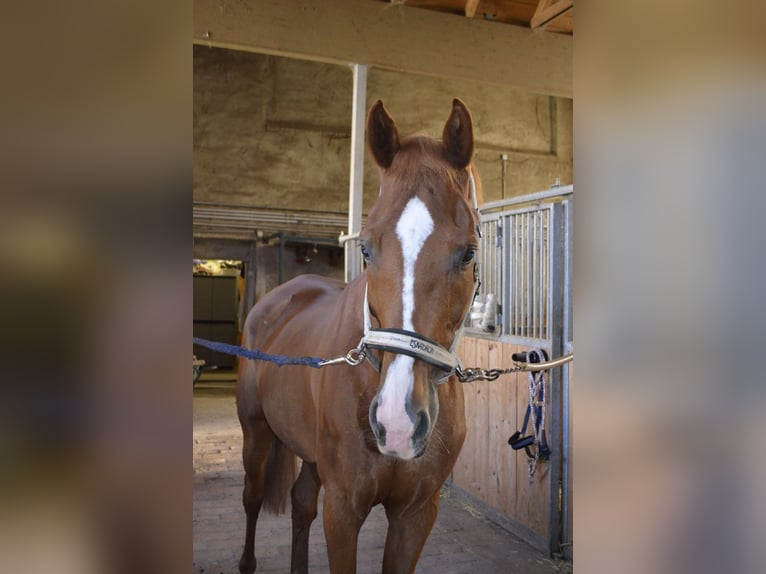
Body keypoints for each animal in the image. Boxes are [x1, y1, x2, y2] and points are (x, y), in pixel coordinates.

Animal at [237, 99, 484, 574]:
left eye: (468, 253)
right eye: (366, 248)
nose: (397, 421)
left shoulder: (416, 513)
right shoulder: (343, 508)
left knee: (300, 504)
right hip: (256, 435)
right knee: (253, 499)